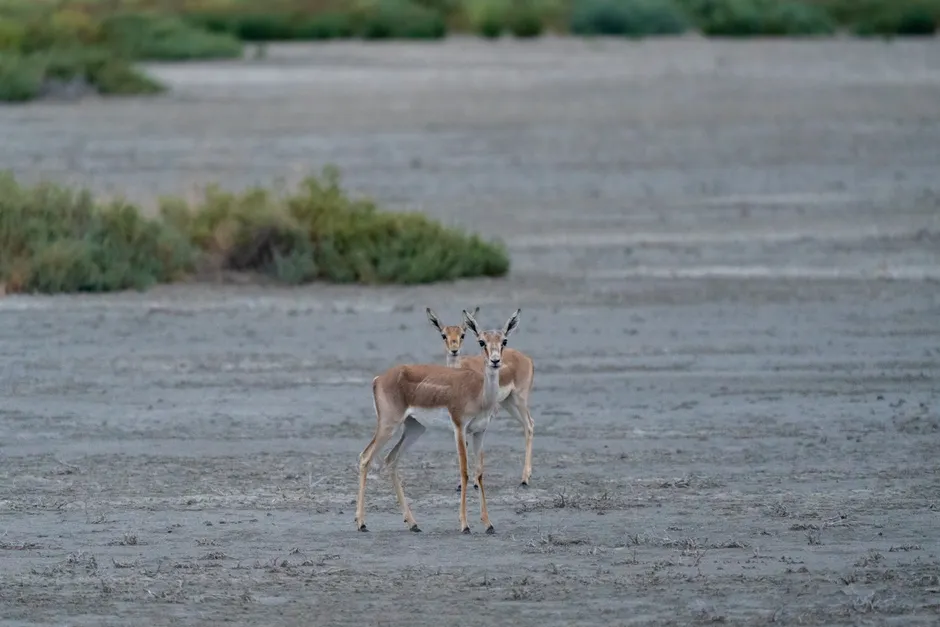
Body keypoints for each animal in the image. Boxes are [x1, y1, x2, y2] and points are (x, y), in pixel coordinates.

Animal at [355, 309, 522, 534]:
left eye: (504, 341)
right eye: (481, 342)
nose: (495, 361)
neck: (479, 394)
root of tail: (379, 379)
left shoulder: (480, 432)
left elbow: (479, 473)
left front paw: (488, 524)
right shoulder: (459, 428)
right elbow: (464, 472)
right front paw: (464, 524)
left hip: (415, 428)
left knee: (391, 459)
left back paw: (413, 523)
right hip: (388, 425)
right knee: (366, 457)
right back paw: (361, 523)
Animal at [426, 307, 535, 489]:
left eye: (463, 334)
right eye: (444, 335)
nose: (454, 349)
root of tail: (526, 358)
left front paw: (476, 482)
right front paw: (461, 483)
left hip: (519, 399)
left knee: (529, 425)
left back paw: (525, 478)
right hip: (508, 403)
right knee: (529, 423)